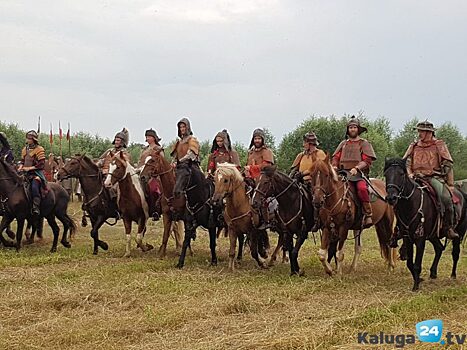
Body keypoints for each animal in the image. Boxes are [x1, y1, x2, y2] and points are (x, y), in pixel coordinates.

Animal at [386, 158, 466, 290]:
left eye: (401, 174)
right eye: (386, 175)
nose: (391, 198)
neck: (411, 204)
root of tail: (462, 194)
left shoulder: (420, 239)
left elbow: (417, 264)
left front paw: (416, 286)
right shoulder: (408, 238)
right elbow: (410, 263)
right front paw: (419, 280)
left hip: (458, 232)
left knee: (455, 253)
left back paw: (453, 275)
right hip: (433, 235)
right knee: (439, 248)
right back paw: (433, 273)